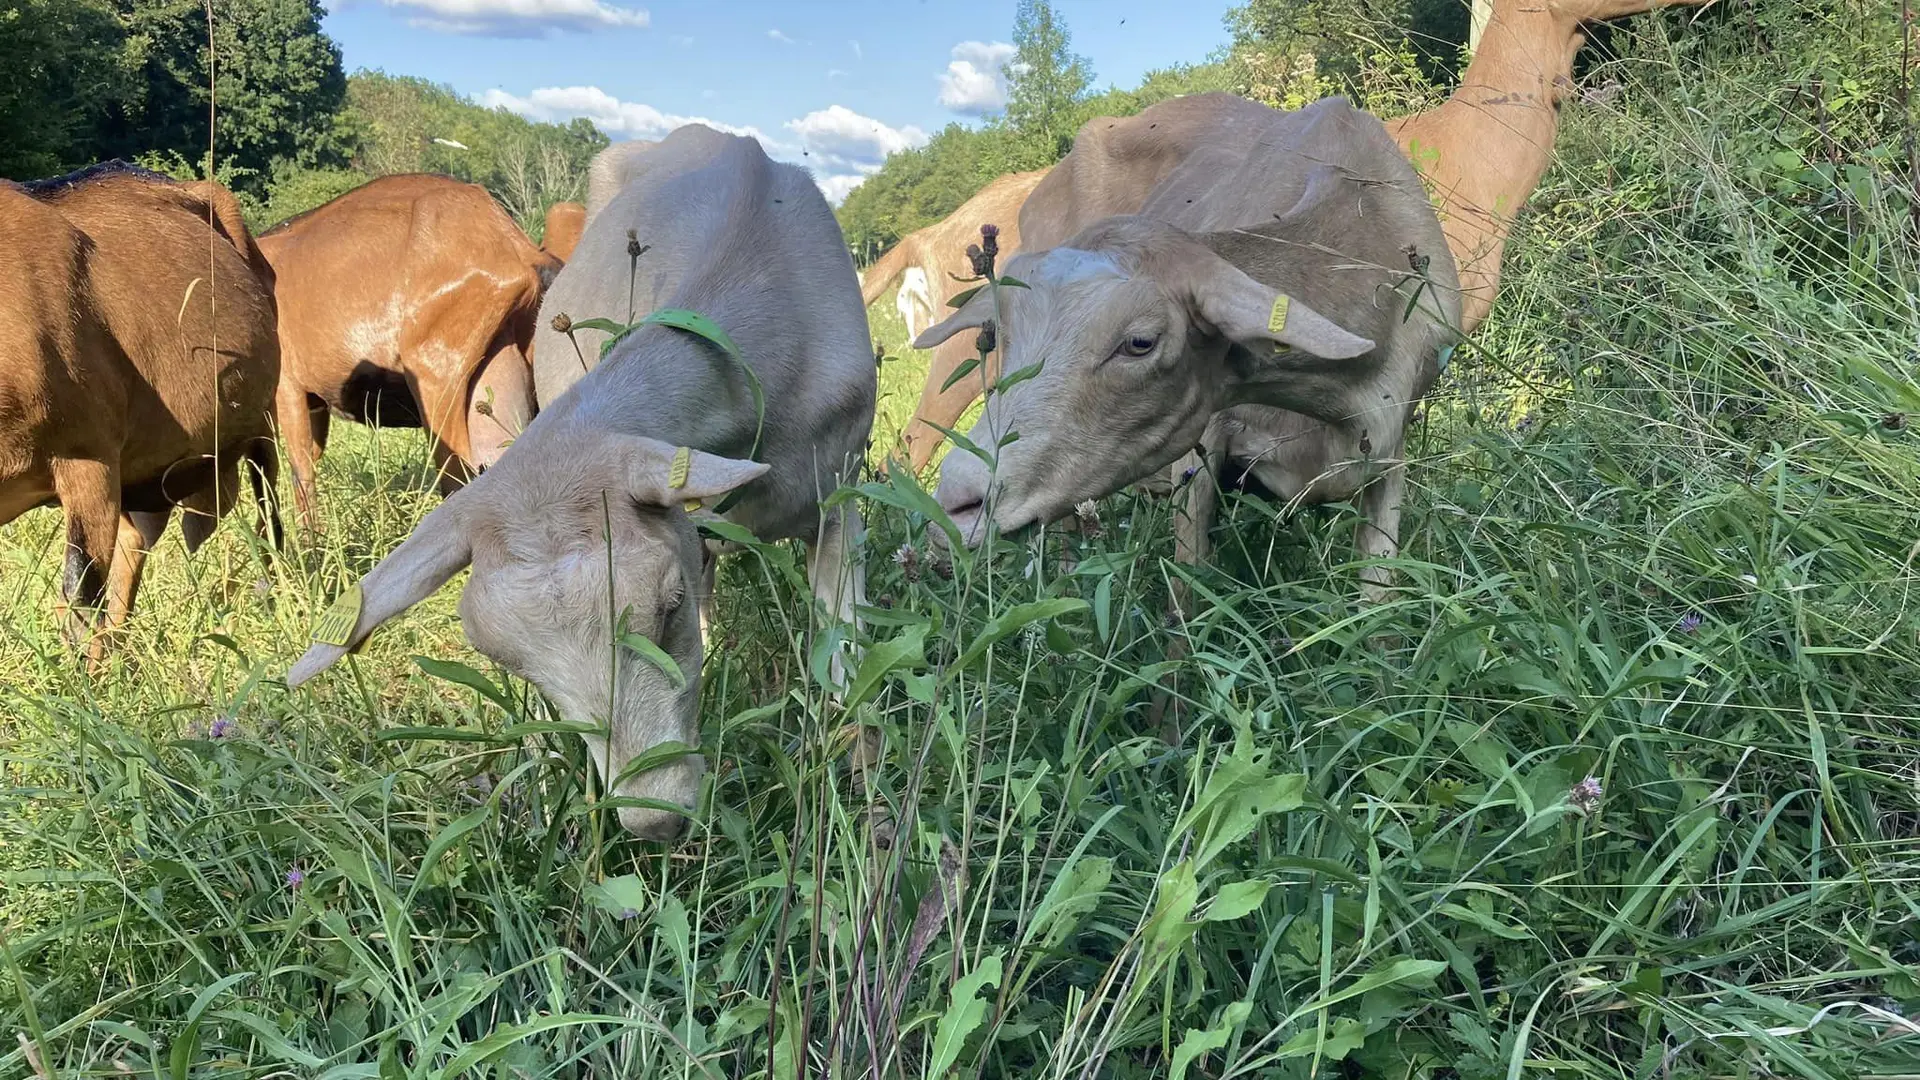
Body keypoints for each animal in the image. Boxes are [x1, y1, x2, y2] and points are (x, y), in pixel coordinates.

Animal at [286, 123, 879, 834]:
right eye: (518, 665)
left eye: (667, 605)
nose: (657, 818)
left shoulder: (838, 496)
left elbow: (844, 656)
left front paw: (856, 776)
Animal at [913, 95, 1451, 599]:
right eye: (1005, 335)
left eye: (1140, 342)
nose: (956, 508)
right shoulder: (1202, 447)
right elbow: (1186, 592)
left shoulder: (1391, 449)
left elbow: (1377, 600)